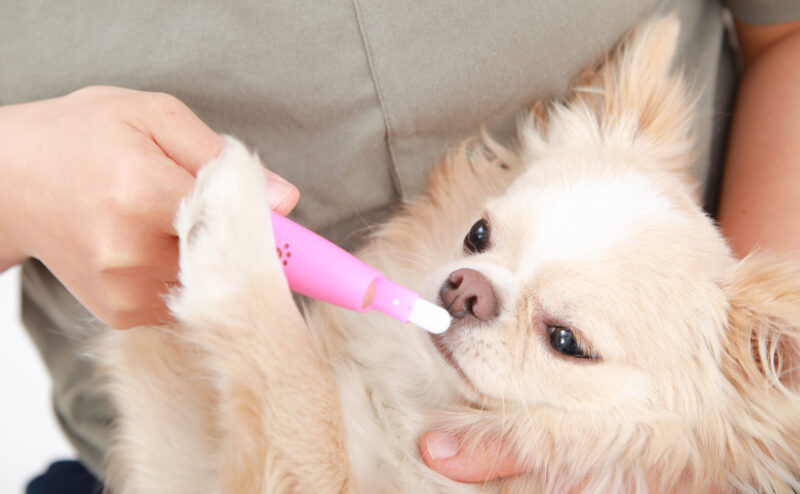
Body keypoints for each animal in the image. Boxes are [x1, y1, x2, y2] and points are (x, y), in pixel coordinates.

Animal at [95, 16, 800, 494]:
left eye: (566, 342)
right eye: (478, 235)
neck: (411, 397)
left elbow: (305, 398)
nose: (466, 288)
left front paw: (238, 236)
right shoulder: (181, 461)